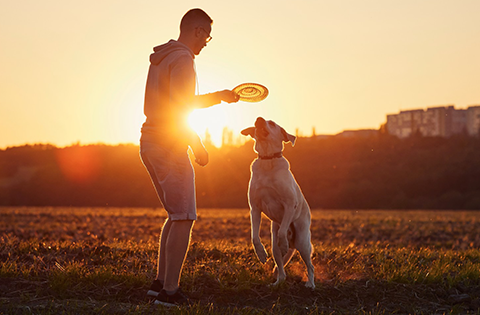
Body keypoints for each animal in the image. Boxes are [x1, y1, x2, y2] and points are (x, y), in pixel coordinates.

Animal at [240, 116, 316, 288]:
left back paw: (310, 283)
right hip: (274, 245)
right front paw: (261, 254)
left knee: (310, 265)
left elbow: (282, 231)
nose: (259, 119)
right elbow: (254, 236)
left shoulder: (289, 205)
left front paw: (284, 244)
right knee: (281, 269)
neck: (268, 160)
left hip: (302, 241)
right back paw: (277, 283)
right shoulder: (254, 208)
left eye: (272, 123)